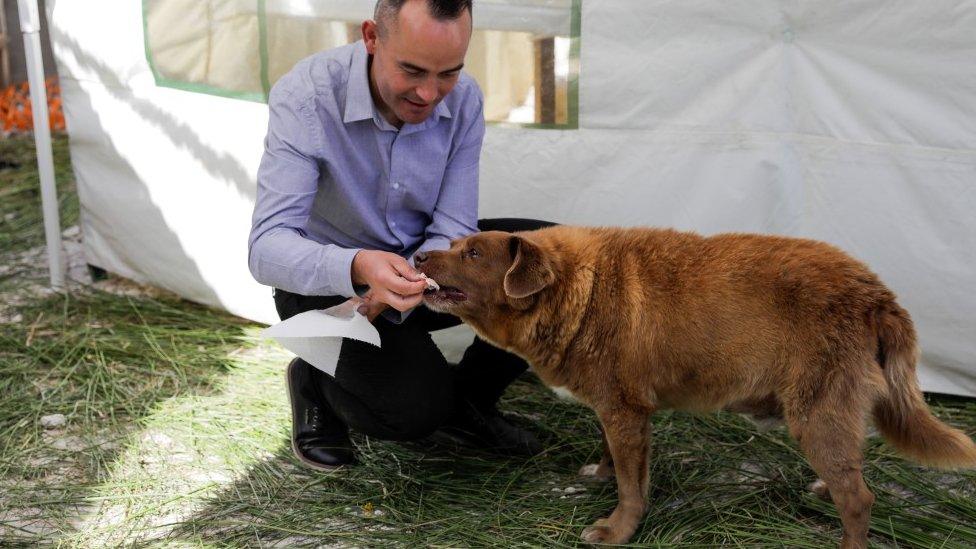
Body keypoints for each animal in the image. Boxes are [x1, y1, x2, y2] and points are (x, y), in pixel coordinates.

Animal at [418, 226, 976, 548]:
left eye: (473, 253)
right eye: (452, 246)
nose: (420, 256)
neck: (581, 289)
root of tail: (876, 293)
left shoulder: (625, 410)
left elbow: (632, 486)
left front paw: (618, 529)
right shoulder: (616, 408)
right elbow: (612, 457)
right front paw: (600, 472)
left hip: (814, 412)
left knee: (859, 498)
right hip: (831, 413)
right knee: (850, 473)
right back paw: (823, 488)